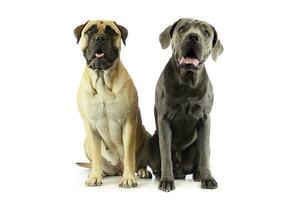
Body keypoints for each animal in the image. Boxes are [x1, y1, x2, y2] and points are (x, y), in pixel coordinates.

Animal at [74, 20, 151, 188]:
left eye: (111, 32)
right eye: (90, 31)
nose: (100, 38)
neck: (102, 79)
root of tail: (117, 169)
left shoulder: (129, 123)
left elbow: (129, 155)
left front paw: (129, 178)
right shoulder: (90, 125)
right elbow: (96, 155)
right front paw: (95, 176)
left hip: (146, 134)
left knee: (139, 162)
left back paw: (142, 171)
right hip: (86, 143)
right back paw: (100, 172)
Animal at [148, 18, 223, 192]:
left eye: (206, 32)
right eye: (182, 29)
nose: (193, 37)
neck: (188, 81)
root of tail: (180, 171)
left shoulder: (205, 119)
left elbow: (204, 154)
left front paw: (207, 178)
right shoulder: (164, 119)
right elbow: (166, 153)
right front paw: (166, 180)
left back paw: (198, 174)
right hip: (152, 141)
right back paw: (160, 175)